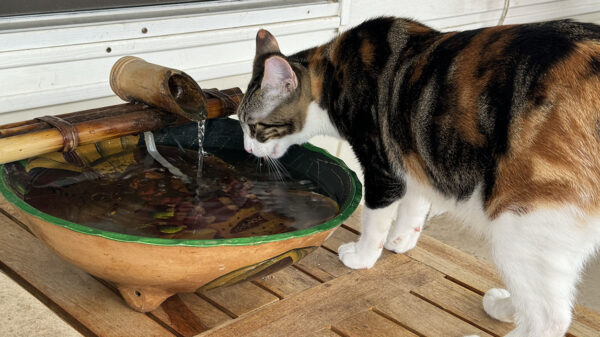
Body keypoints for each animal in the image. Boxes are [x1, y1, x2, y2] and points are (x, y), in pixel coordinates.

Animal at [237, 17, 600, 336]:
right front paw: (402, 240)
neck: (332, 75)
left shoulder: (383, 167)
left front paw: (364, 256)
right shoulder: (411, 149)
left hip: (525, 221)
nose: (246, 148)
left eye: (254, 127)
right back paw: (505, 307)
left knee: (551, 319)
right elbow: (416, 202)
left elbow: (374, 219)